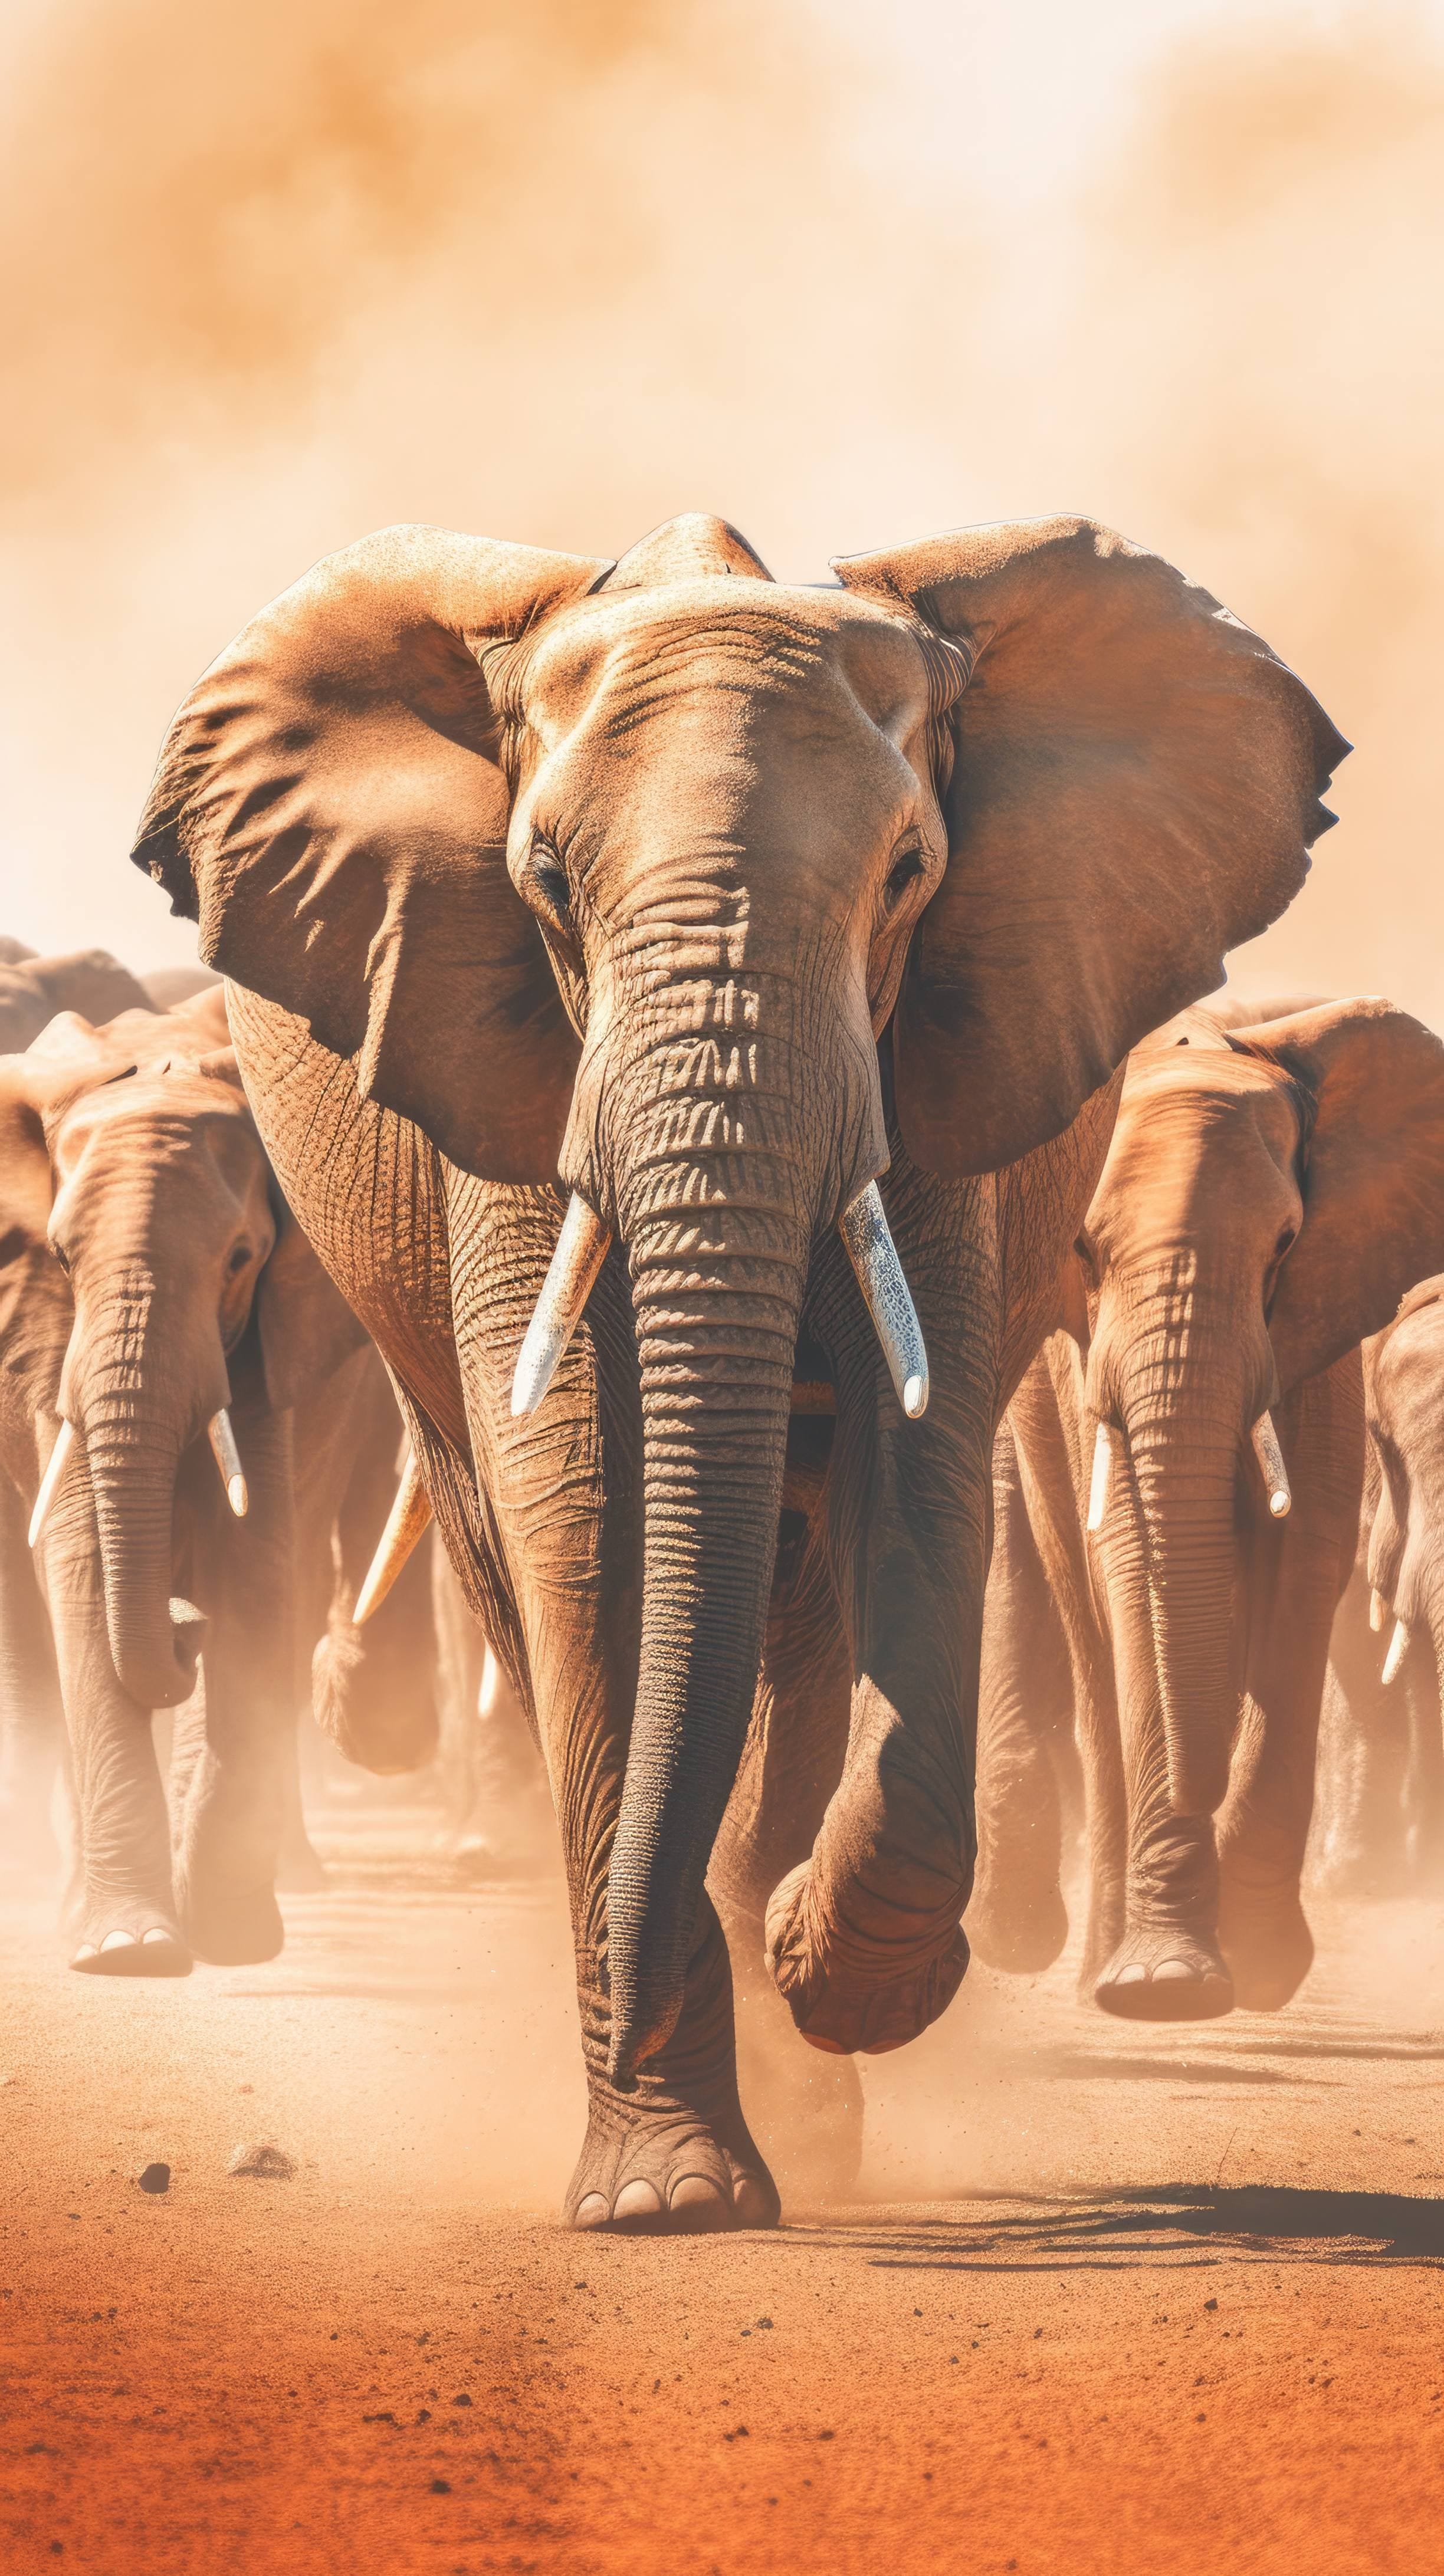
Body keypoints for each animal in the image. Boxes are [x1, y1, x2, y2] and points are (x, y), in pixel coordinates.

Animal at [0, 987, 439, 1968]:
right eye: (61, 1257)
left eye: (239, 1260)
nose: (179, 1618)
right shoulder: (50, 1344)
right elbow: (80, 1568)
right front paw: (127, 1947)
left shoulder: (276, 1335)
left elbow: (255, 1561)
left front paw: (231, 1937)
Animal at [130, 508, 1340, 2230]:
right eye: (542, 882)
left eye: (909, 876)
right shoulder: (502, 1056)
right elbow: (578, 1509)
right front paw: (666, 2199)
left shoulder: (935, 1061)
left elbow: (917, 1467)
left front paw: (820, 1979)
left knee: (807, 1586)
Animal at [968, 995, 1444, 2020]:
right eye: (1082, 1248)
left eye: (1285, 1245)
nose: (1199, 1791)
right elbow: (1131, 1575)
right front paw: (1166, 1988)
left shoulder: (1323, 1331)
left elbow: (1305, 1565)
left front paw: (1258, 1970)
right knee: (1092, 1637)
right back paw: (1100, 1968)